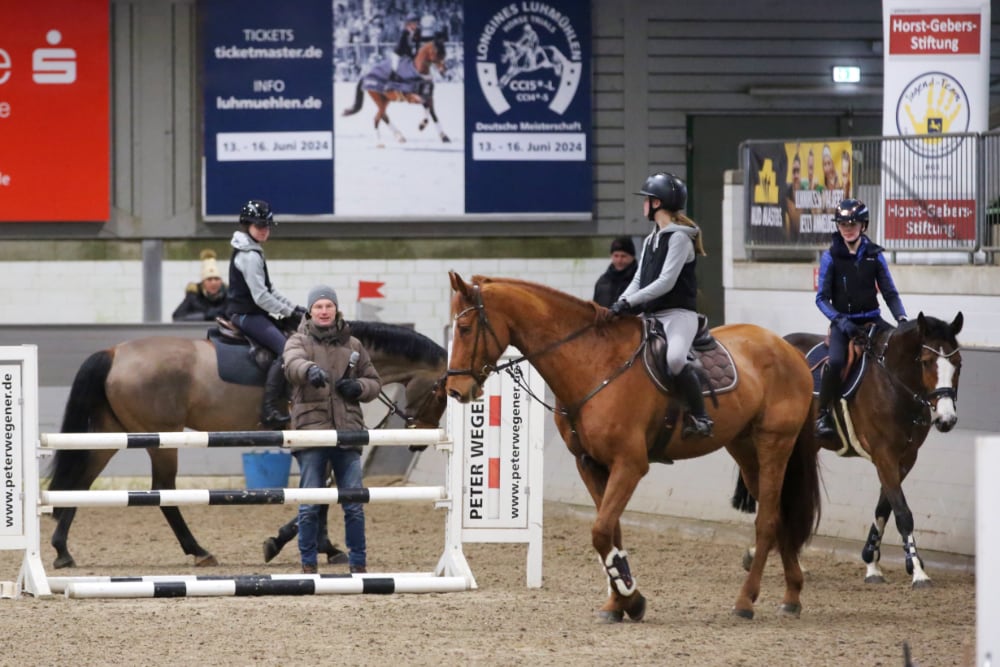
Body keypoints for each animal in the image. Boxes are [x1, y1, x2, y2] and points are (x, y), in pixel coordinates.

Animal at [48, 322, 448, 568]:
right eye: (441, 391)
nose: (419, 438)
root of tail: (114, 352)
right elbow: (320, 492)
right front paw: (302, 544)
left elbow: (323, 491)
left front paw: (319, 545)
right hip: (161, 440)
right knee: (163, 492)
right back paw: (199, 551)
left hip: (112, 435)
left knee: (81, 484)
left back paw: (62, 550)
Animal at [446, 274, 820, 624]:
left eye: (464, 328)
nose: (454, 390)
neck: (593, 363)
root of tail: (788, 348)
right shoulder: (590, 464)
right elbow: (612, 532)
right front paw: (620, 603)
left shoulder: (630, 464)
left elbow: (600, 532)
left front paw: (629, 594)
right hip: (743, 448)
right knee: (779, 516)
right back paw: (792, 595)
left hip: (774, 442)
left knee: (767, 520)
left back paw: (746, 601)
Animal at [736, 314, 960, 588]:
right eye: (927, 362)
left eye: (958, 363)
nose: (947, 419)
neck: (893, 385)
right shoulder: (884, 455)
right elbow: (902, 512)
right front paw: (918, 571)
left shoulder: (905, 458)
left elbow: (884, 508)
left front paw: (872, 564)